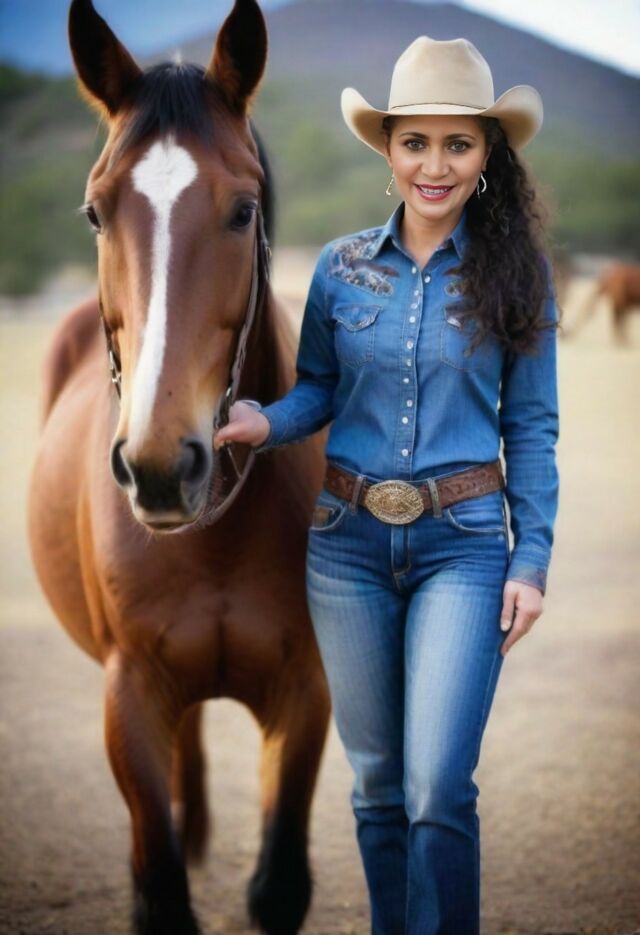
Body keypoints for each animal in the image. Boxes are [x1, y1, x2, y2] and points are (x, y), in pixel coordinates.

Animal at [27, 1, 331, 932]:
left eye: (243, 209)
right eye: (95, 213)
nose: (162, 467)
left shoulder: (305, 694)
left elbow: (278, 886)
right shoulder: (130, 695)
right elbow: (160, 887)